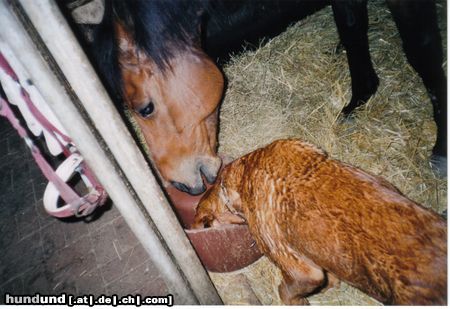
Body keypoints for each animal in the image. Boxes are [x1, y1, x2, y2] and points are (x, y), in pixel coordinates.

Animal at [91, 1, 446, 195]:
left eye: (145, 108)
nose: (178, 184)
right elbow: (351, 30)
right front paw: (360, 97)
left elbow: (422, 52)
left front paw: (441, 151)